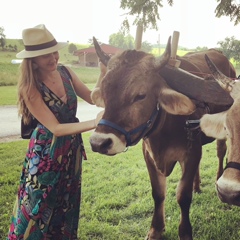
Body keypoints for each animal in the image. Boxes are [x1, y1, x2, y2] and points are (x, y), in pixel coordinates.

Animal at [90, 36, 234, 240]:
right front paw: (155, 229)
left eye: (140, 95)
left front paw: (185, 231)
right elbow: (158, 193)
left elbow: (183, 195)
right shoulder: (149, 155)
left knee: (221, 152)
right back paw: (197, 185)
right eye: (104, 91)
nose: (99, 143)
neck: (164, 131)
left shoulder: (190, 153)